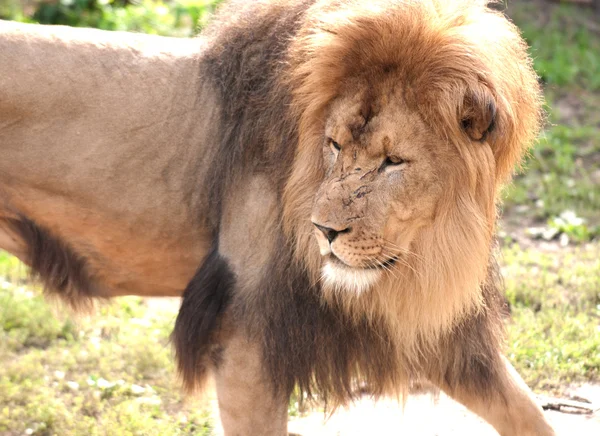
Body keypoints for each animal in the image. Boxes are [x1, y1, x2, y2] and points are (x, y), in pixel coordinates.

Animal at [0, 0, 556, 434]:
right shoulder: (243, 335)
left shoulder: (437, 329)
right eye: (334, 145)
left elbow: (529, 414)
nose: (324, 231)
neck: (427, 250)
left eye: (393, 161)